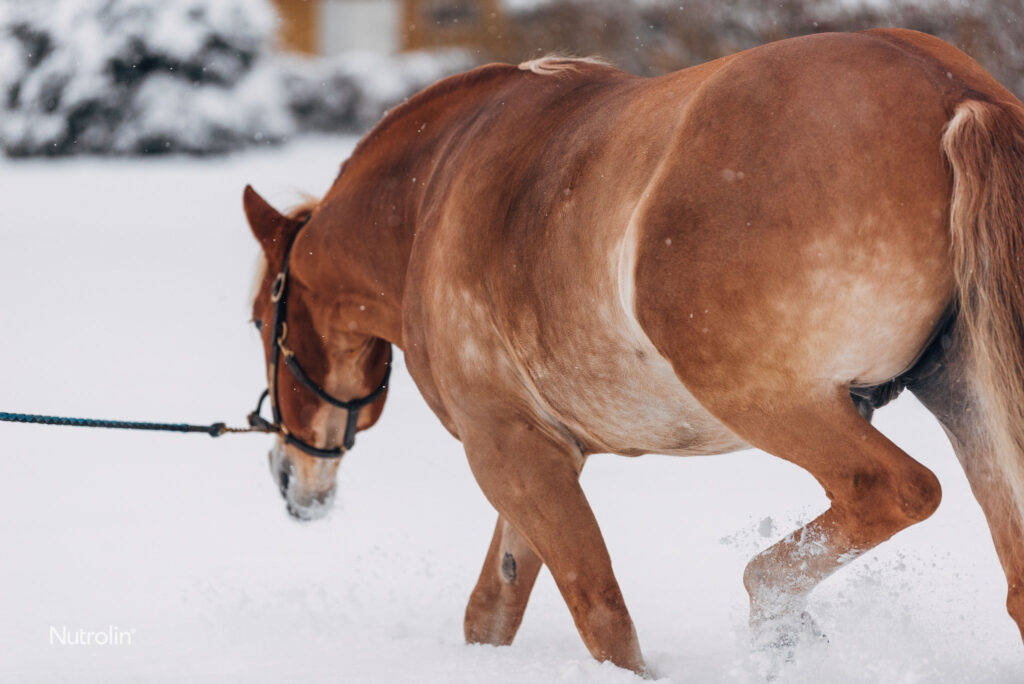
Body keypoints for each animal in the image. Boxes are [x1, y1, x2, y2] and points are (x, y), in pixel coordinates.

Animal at [243, 29, 1024, 671]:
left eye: (258, 322)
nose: (286, 478)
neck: (436, 192)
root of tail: (956, 93)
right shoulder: (536, 450)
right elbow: (492, 608)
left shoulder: (506, 450)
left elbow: (599, 614)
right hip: (965, 395)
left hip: (777, 403)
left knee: (891, 492)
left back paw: (777, 618)